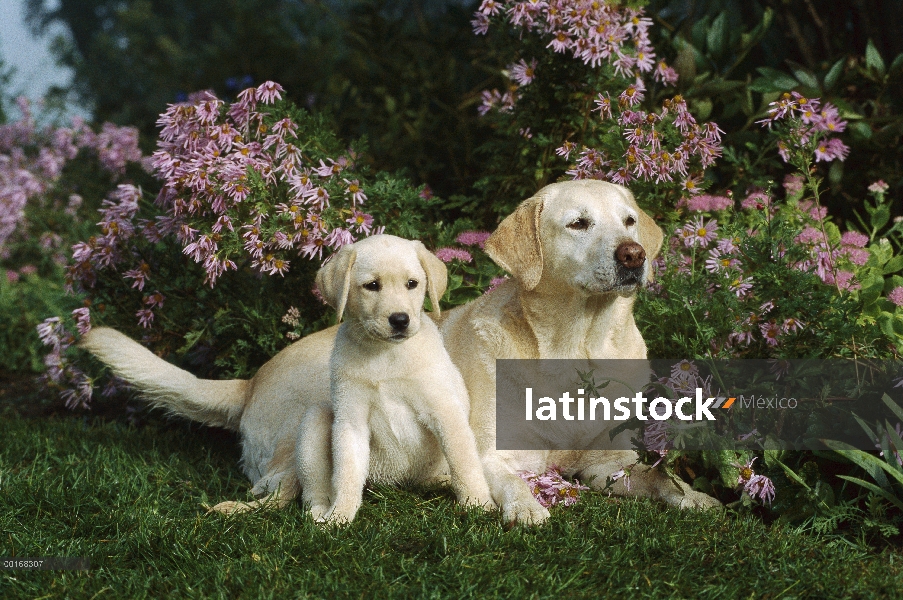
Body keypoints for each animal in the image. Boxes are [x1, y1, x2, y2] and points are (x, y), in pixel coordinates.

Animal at [296, 236, 494, 524]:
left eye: (412, 283)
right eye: (372, 285)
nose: (400, 320)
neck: (385, 354)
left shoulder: (445, 412)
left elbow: (464, 463)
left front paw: (479, 504)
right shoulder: (350, 421)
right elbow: (346, 474)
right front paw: (341, 515)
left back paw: (443, 483)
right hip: (315, 420)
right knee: (314, 489)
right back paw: (321, 512)